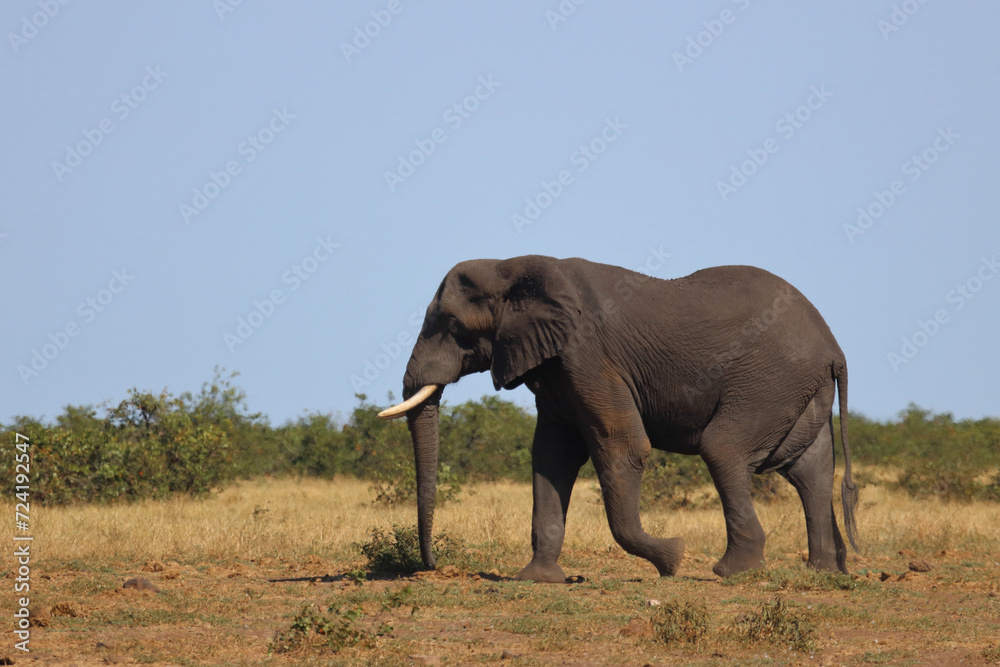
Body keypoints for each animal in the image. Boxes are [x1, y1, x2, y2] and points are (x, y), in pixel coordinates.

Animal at [376, 258, 860, 584]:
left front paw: (672, 559)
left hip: (769, 380)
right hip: (797, 388)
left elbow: (623, 447)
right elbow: (551, 458)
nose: (431, 566)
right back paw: (822, 572)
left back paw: (732, 571)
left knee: (724, 448)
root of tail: (834, 346)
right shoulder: (556, 369)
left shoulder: (587, 356)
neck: (512, 266)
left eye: (452, 325)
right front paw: (537, 578)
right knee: (810, 470)